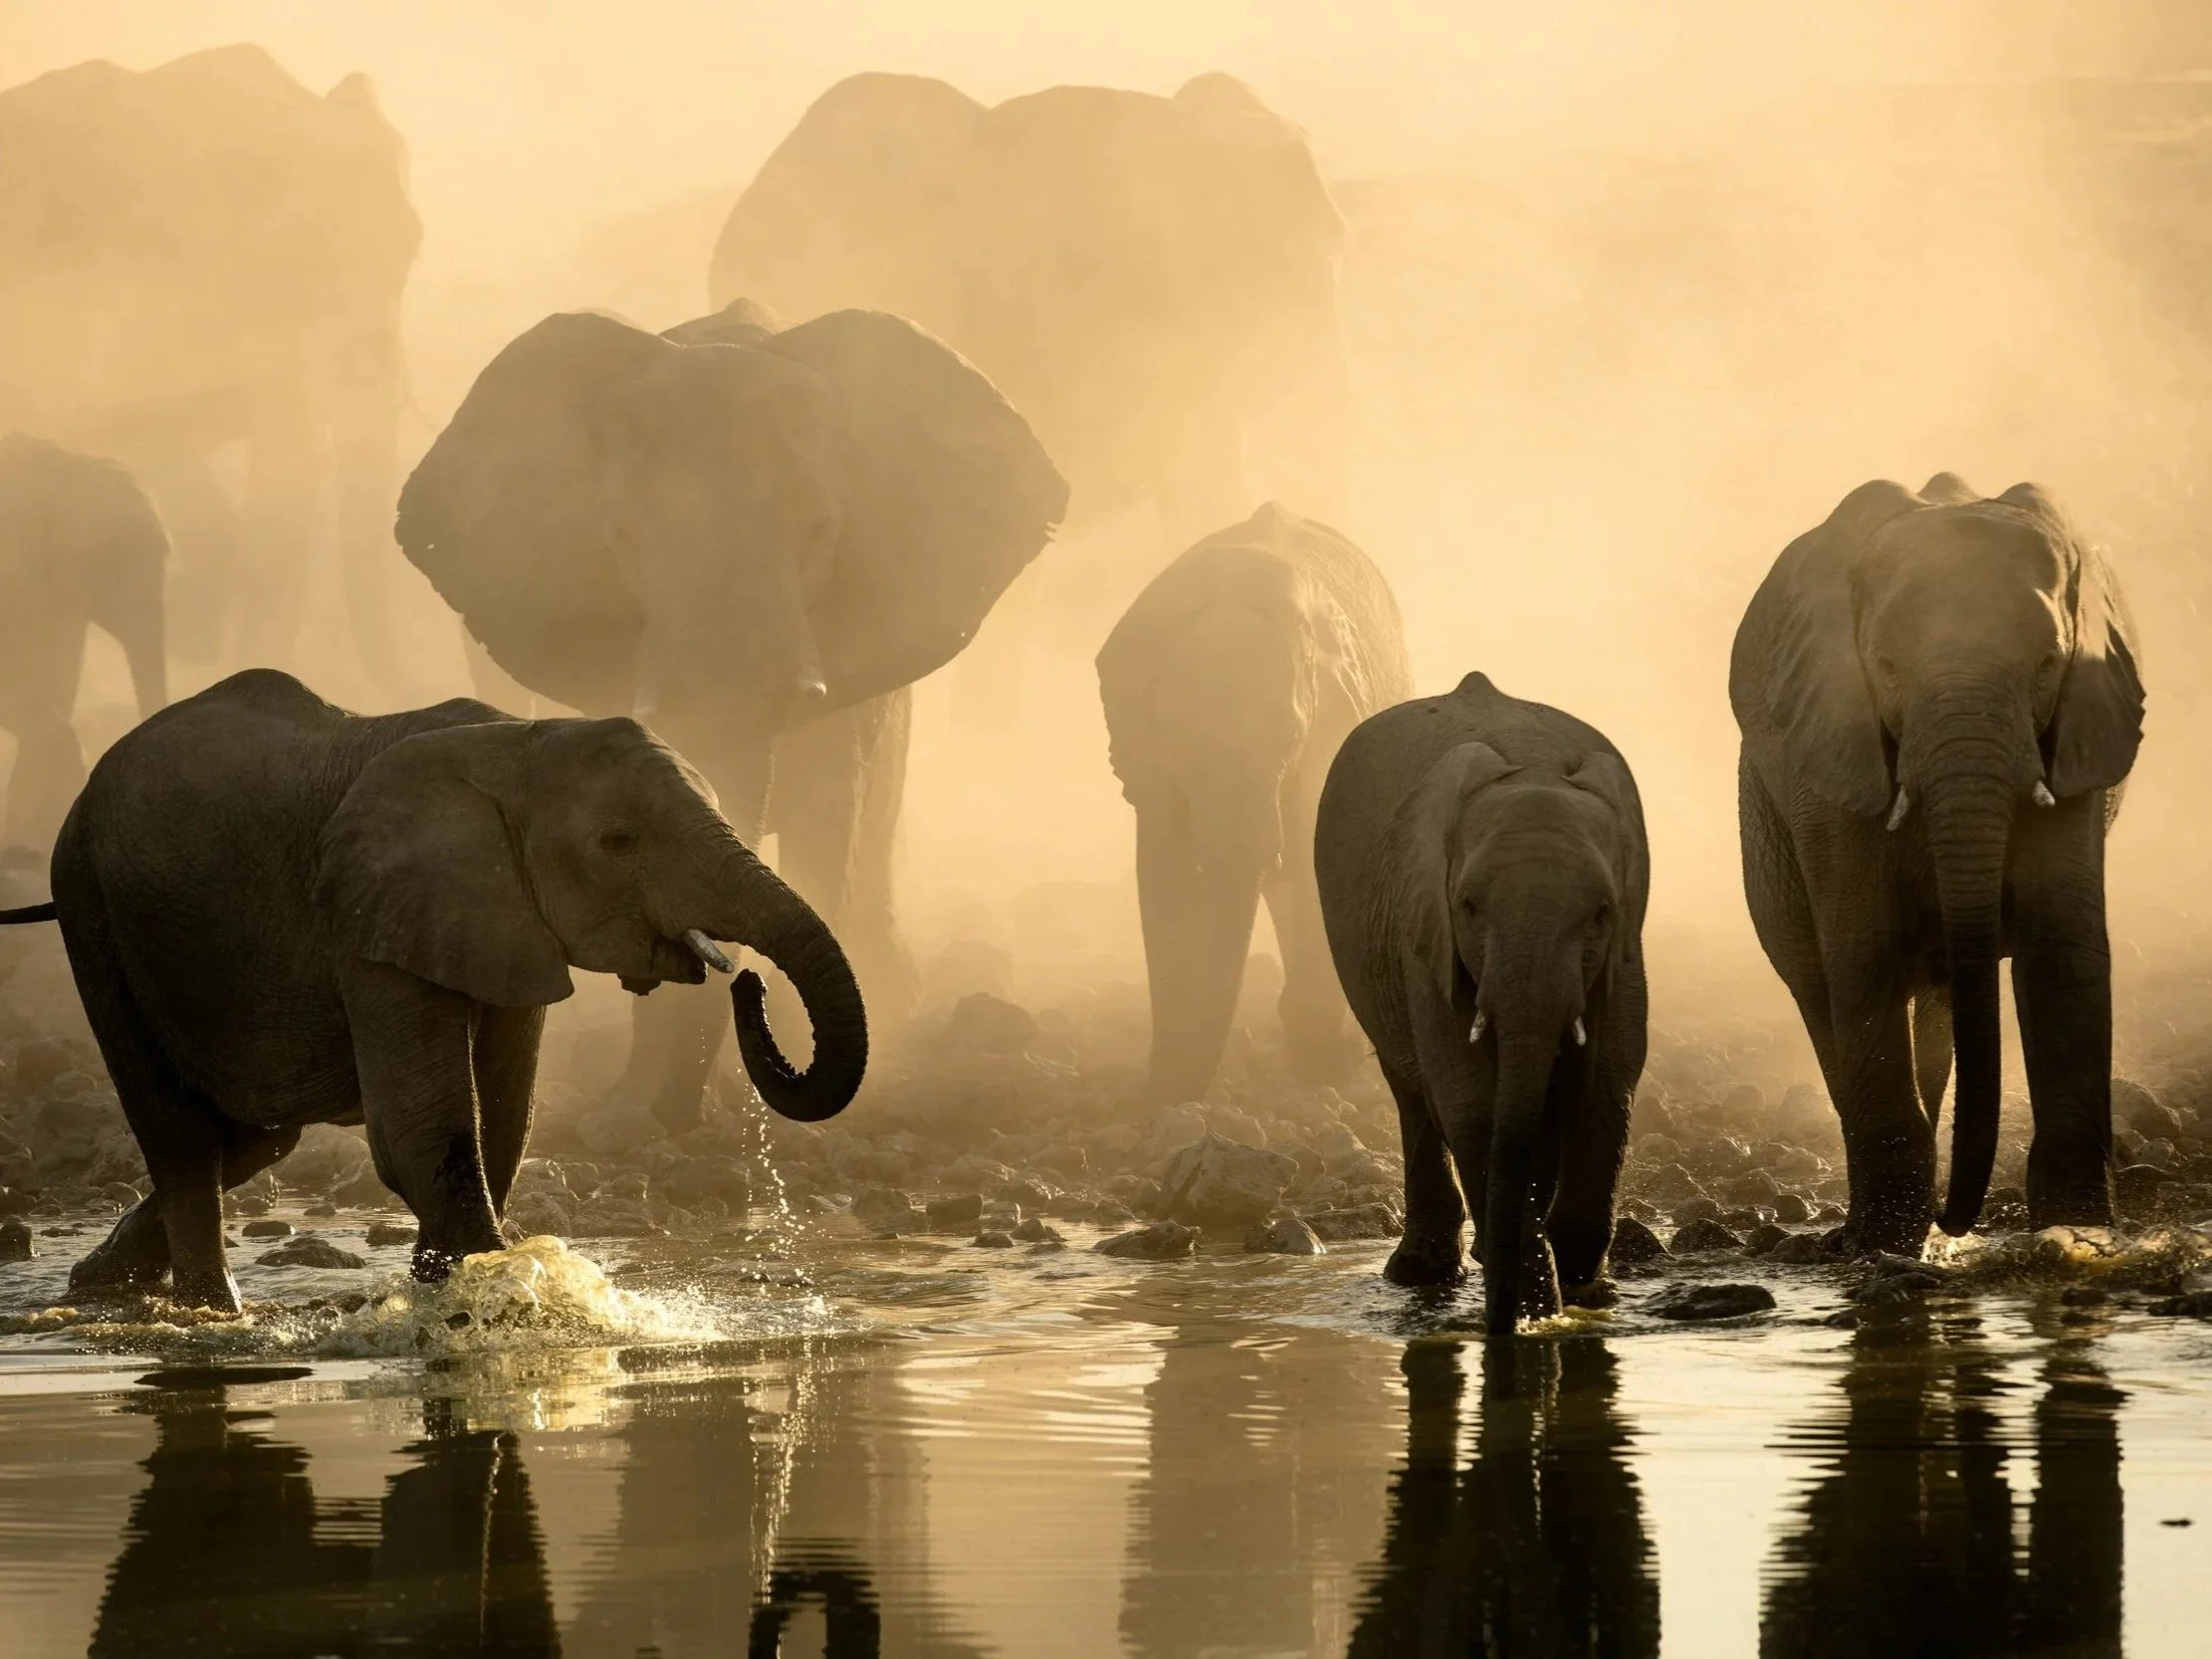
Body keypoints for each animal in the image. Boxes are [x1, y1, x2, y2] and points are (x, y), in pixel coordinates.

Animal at [0, 668, 863, 1311]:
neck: (520, 738)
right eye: (618, 842)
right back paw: (214, 1312)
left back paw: (97, 1284)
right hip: (91, 905)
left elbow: (504, 1121)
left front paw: (450, 1289)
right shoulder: (369, 916)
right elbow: (421, 1133)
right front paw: (497, 1300)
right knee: (181, 1136)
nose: (747, 979)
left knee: (251, 1136)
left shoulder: (501, 919)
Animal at [1096, 501, 1411, 1102]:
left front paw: (1322, 1067)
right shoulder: (1152, 765)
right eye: (1176, 740)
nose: (1176, 1091)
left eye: (1288, 739)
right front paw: (1167, 1084)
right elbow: (1164, 872)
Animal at [1315, 672, 1650, 1334]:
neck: (1532, 763)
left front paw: (1582, 1292)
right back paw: (1422, 1273)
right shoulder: (1425, 931)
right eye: (1469, 906)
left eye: (1601, 912)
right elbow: (1468, 1093)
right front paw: (1531, 1311)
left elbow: (1608, 1079)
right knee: (1412, 1088)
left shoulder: (1626, 947)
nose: (1497, 1324)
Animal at [1731, 474, 2143, 1252]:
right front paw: (1884, 1249)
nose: (1960, 1218)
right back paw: (1870, 1229)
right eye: (1887, 667)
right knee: (1816, 980)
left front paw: (2077, 1236)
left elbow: (2062, 951)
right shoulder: (1832, 747)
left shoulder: (2076, 735)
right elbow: (1863, 952)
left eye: (2048, 664)